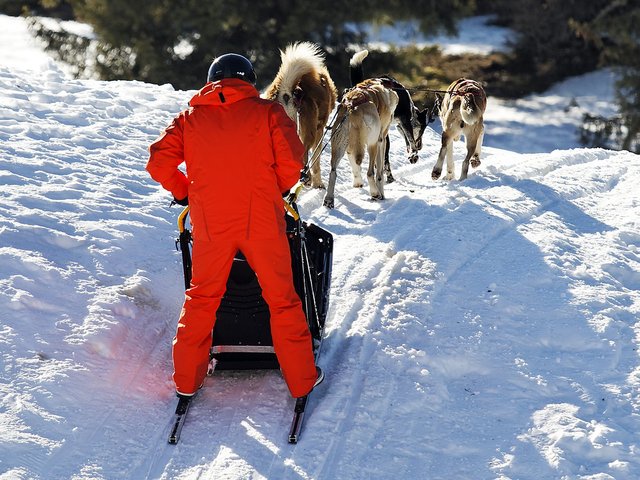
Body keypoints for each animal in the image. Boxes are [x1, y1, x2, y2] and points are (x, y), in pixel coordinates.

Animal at [262, 41, 338, 188]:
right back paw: (306, 178)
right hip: (308, 131)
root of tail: (286, 93)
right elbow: (316, 160)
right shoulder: (318, 130)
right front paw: (318, 183)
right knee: (304, 155)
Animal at [322, 79, 398, 208]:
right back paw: (375, 193)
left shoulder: (349, 148)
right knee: (370, 172)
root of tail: (352, 108)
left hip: (339, 146)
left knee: (333, 172)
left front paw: (358, 182)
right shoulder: (381, 141)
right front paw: (381, 193)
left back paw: (329, 199)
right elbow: (379, 173)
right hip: (372, 145)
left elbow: (355, 166)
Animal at [348, 49, 428, 183]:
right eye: (423, 130)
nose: (421, 146)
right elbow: (411, 140)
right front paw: (413, 155)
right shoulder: (405, 122)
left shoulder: (393, 130)